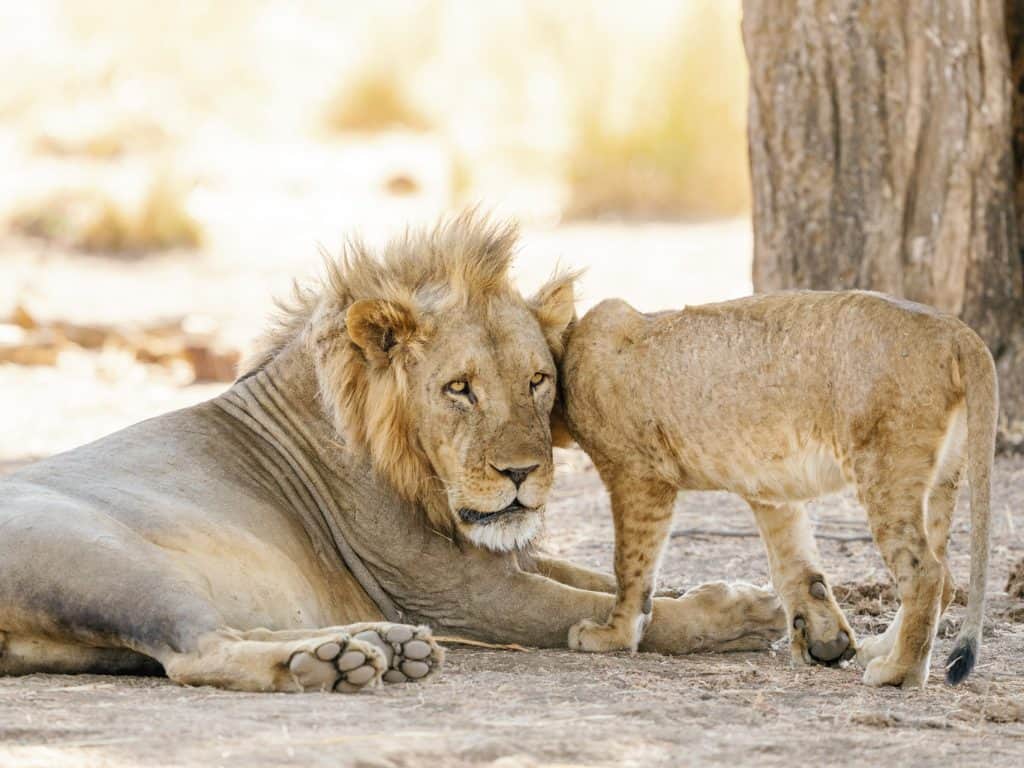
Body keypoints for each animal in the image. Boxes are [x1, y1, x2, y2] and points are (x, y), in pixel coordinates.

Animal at [0, 214, 785, 693]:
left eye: (538, 380)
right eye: (459, 389)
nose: (522, 474)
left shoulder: (493, 559)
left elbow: (608, 581)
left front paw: (721, 592)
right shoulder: (457, 591)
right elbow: (594, 609)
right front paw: (741, 616)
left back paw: (380, 646)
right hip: (112, 562)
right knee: (194, 652)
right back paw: (330, 663)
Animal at [559, 291, 996, 689]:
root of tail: (953, 329)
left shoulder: (636, 475)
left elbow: (630, 565)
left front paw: (612, 635)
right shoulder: (768, 487)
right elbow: (793, 562)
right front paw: (824, 638)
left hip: (885, 469)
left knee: (925, 573)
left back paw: (898, 671)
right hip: (942, 479)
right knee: (945, 576)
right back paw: (882, 650)